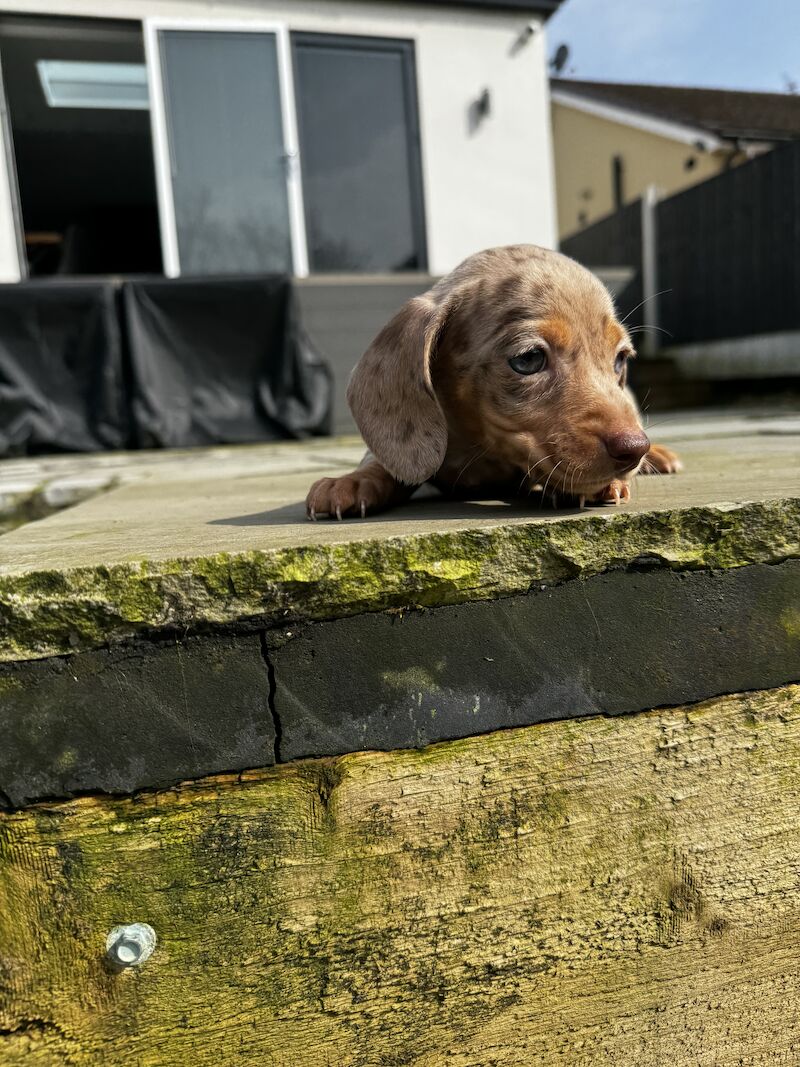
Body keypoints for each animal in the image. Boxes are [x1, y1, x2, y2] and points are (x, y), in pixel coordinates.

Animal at [309, 245, 678, 520]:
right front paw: (353, 480)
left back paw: (657, 456)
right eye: (529, 359)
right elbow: (382, 463)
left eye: (620, 360)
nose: (634, 449)